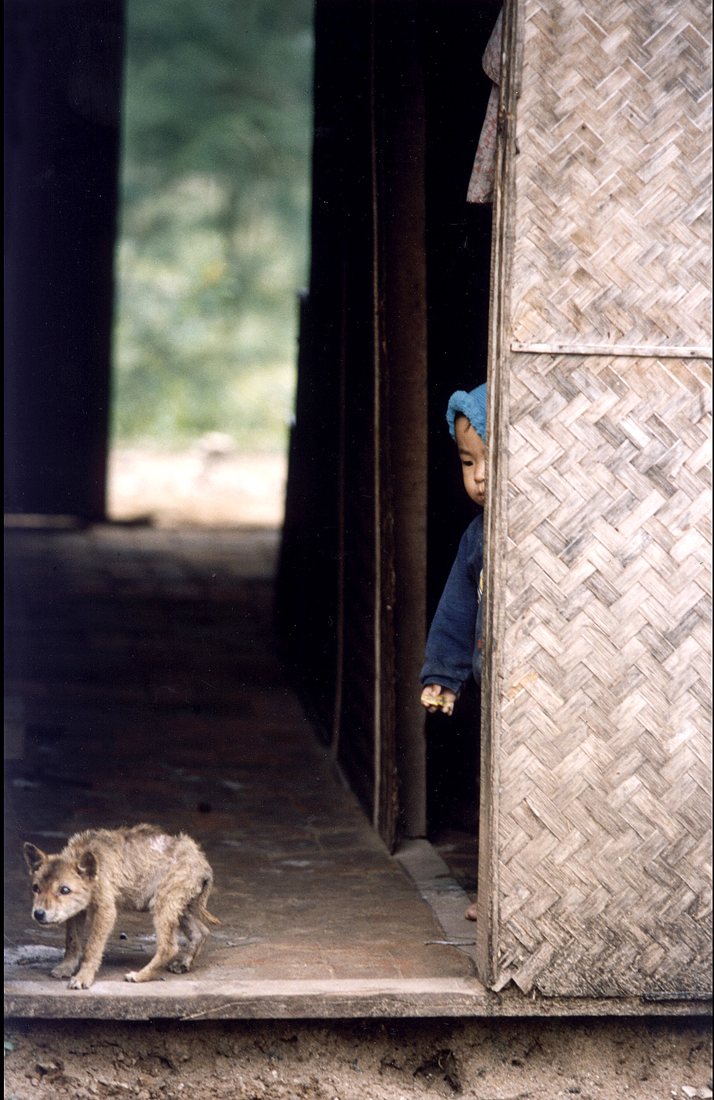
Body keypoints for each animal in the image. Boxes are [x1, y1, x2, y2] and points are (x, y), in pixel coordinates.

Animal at [23, 827, 218, 990]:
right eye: (36, 888)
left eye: (64, 890)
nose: (38, 914)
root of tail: (204, 863)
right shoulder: (77, 912)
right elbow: (72, 942)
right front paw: (66, 968)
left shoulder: (106, 911)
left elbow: (91, 949)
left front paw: (83, 978)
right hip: (177, 909)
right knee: (201, 932)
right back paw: (183, 964)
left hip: (162, 906)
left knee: (169, 947)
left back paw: (140, 976)